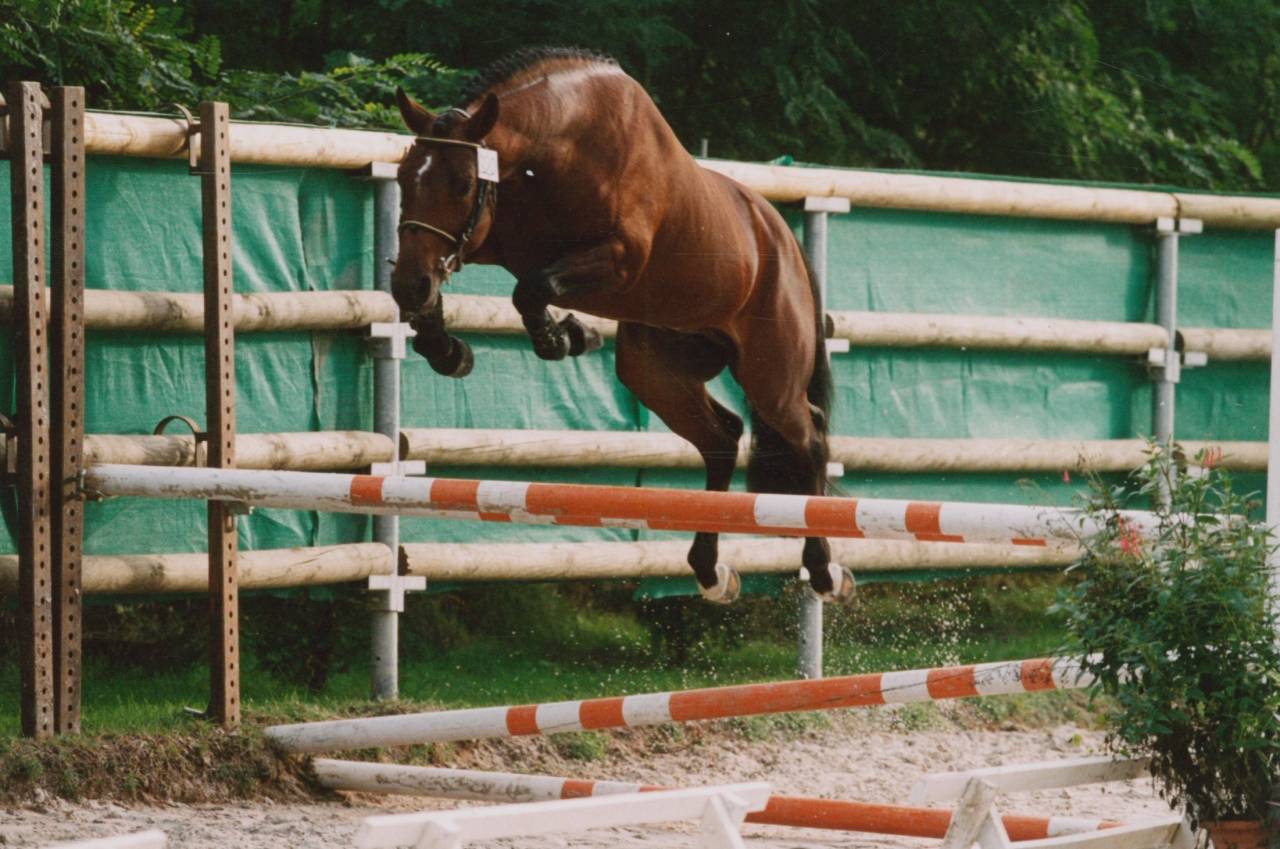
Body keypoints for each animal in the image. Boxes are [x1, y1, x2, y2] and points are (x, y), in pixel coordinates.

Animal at [390, 46, 854, 605]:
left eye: (461, 184)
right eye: (403, 178)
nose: (405, 286)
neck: (551, 155)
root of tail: (784, 239)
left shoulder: (615, 261)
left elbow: (529, 290)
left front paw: (563, 337)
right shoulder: (492, 238)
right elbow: (471, 284)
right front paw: (448, 348)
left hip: (771, 377)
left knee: (809, 436)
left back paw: (825, 572)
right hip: (654, 370)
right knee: (722, 437)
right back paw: (710, 572)